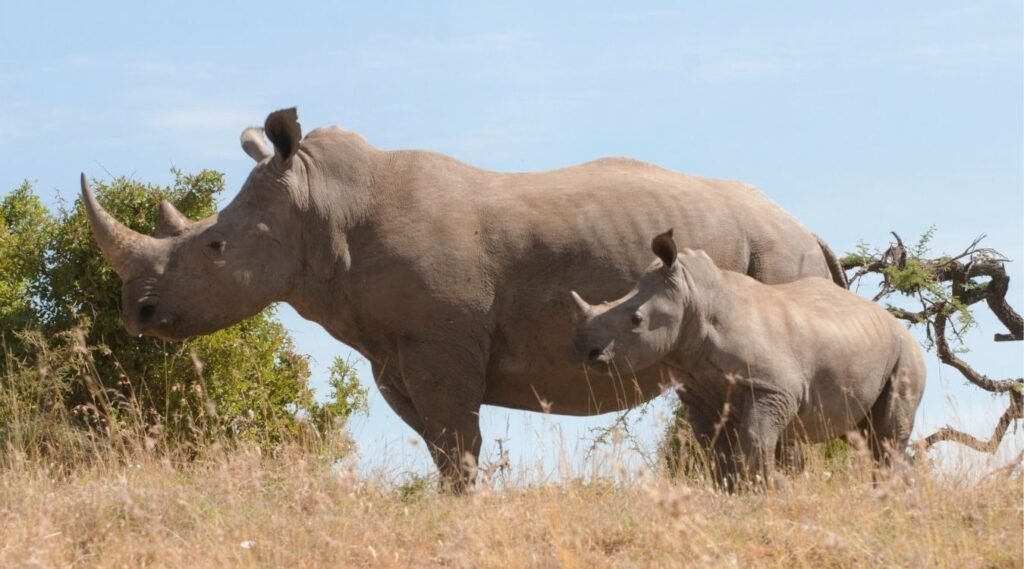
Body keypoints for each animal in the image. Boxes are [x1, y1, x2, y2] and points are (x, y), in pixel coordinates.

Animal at [82, 107, 846, 491]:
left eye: (214, 248)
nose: (137, 313)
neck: (319, 207)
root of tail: (807, 228)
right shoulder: (392, 350)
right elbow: (441, 446)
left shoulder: (439, 340)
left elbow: (456, 441)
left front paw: (463, 511)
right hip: (764, 251)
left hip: (778, 255)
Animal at [570, 230, 926, 488]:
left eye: (636, 320)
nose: (589, 355)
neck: (696, 300)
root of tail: (896, 322)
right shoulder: (702, 393)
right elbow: (716, 452)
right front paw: (732, 495)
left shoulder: (772, 389)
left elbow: (754, 444)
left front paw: (770, 492)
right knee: (867, 434)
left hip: (906, 351)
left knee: (885, 437)